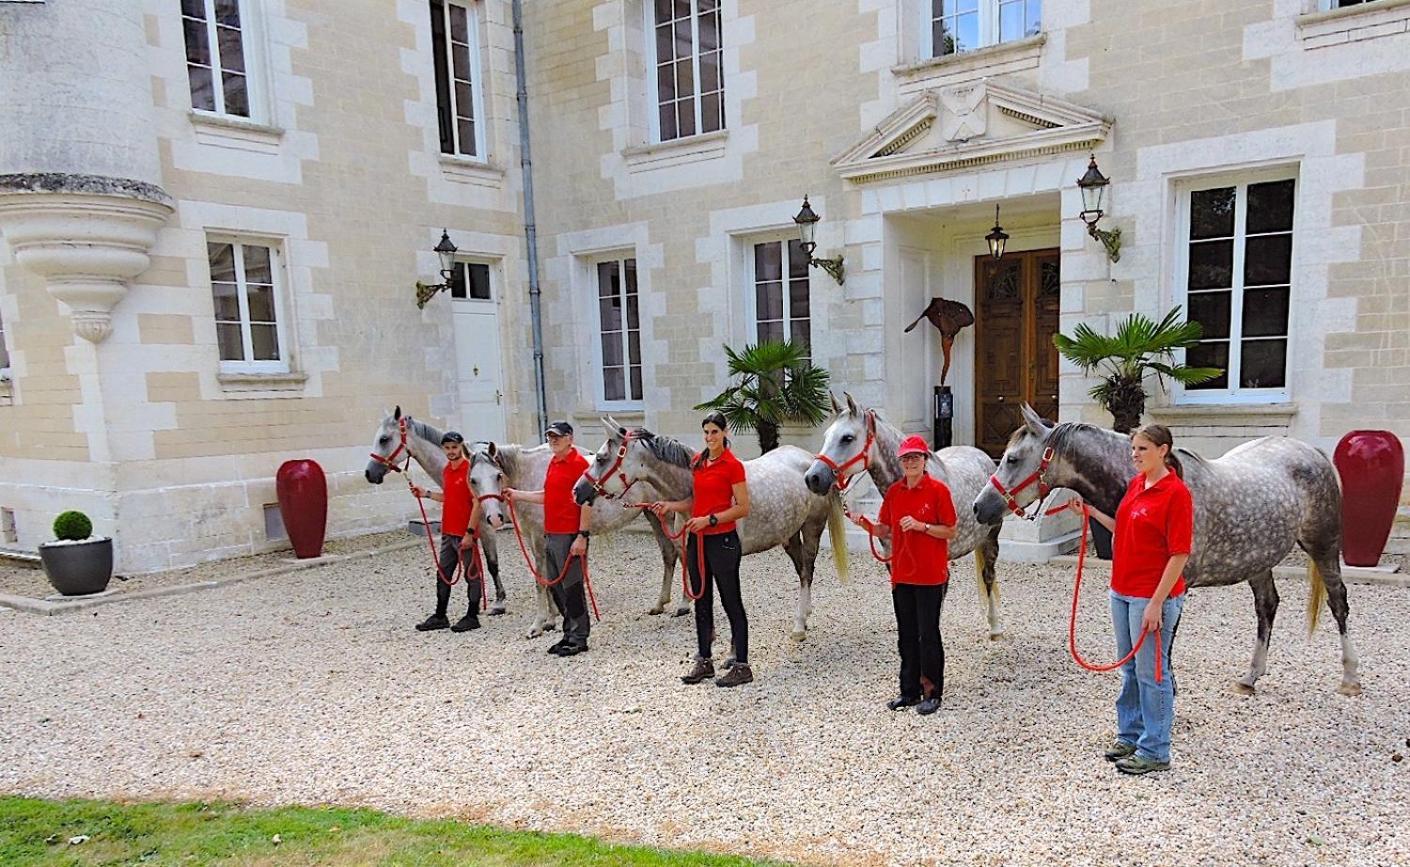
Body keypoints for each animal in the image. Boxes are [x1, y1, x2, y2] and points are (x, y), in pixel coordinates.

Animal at [470, 439, 685, 637]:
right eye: (473, 480)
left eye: (498, 475)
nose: (494, 518)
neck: (528, 475)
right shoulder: (534, 540)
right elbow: (548, 579)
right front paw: (550, 620)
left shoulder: (539, 538)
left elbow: (541, 582)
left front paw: (537, 625)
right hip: (654, 515)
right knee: (669, 554)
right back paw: (660, 604)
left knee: (682, 554)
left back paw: (684, 605)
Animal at [569, 420, 846, 645]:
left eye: (601, 458)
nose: (577, 491)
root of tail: (811, 461)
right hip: (789, 535)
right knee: (802, 571)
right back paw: (805, 615)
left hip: (811, 528)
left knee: (807, 571)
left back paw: (799, 626)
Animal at [800, 394, 1009, 637]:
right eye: (826, 436)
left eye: (847, 438)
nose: (813, 478)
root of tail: (982, 456)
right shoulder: (893, 562)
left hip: (991, 538)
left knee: (988, 575)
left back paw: (995, 627)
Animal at [975, 403, 1359, 699]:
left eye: (1012, 459)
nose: (980, 507)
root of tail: (1312, 452)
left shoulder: (1172, 590)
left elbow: (1163, 643)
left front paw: (1166, 694)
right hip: (1258, 559)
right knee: (1267, 607)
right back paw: (1250, 677)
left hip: (1323, 544)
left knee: (1338, 601)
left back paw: (1351, 677)